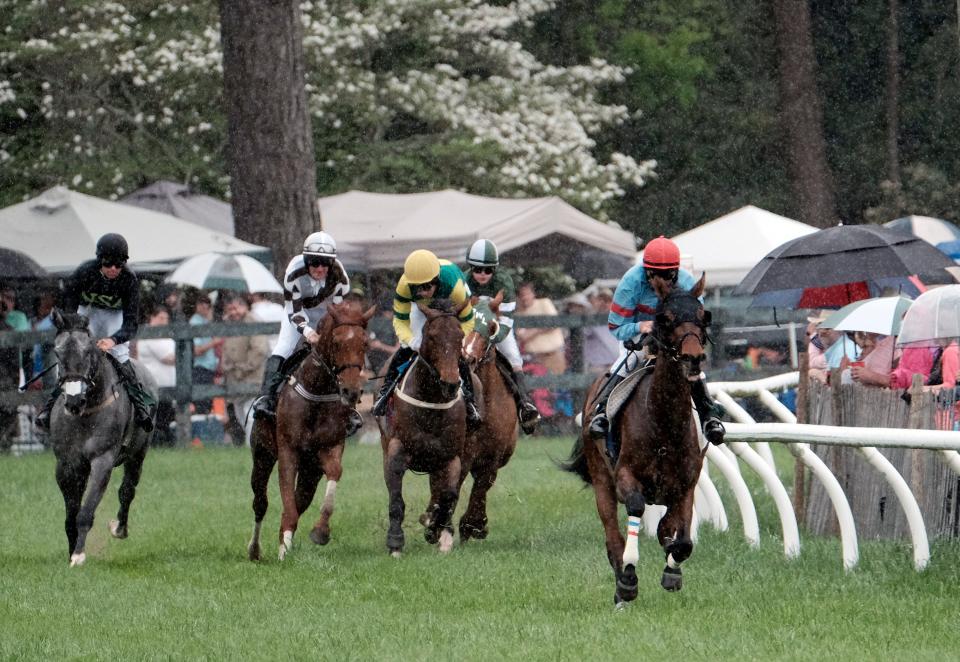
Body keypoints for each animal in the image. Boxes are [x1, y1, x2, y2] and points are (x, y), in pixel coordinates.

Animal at [48, 314, 157, 568]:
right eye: (57, 352)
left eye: (88, 351)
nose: (74, 401)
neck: (87, 412)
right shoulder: (66, 465)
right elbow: (71, 514)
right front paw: (72, 551)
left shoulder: (102, 460)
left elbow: (85, 512)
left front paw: (78, 555)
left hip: (139, 452)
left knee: (127, 490)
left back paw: (119, 528)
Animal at [248, 304, 376, 564]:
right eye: (336, 342)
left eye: (365, 343)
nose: (351, 391)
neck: (317, 389)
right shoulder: (288, 451)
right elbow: (286, 499)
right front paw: (283, 551)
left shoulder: (330, 447)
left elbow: (334, 473)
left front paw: (320, 531)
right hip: (262, 455)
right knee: (260, 502)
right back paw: (255, 550)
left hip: (311, 471)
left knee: (300, 500)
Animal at [376, 300, 470, 560]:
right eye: (431, 337)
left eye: (460, 336)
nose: (451, 383)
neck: (432, 402)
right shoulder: (396, 450)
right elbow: (396, 499)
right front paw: (395, 543)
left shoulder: (450, 456)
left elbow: (448, 496)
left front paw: (437, 530)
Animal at [564, 274, 712, 608]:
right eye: (665, 318)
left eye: (703, 316)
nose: (693, 358)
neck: (664, 422)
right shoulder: (625, 475)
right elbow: (635, 508)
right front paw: (629, 577)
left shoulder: (686, 482)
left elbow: (682, 539)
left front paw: (672, 571)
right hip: (601, 479)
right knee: (613, 537)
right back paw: (622, 587)